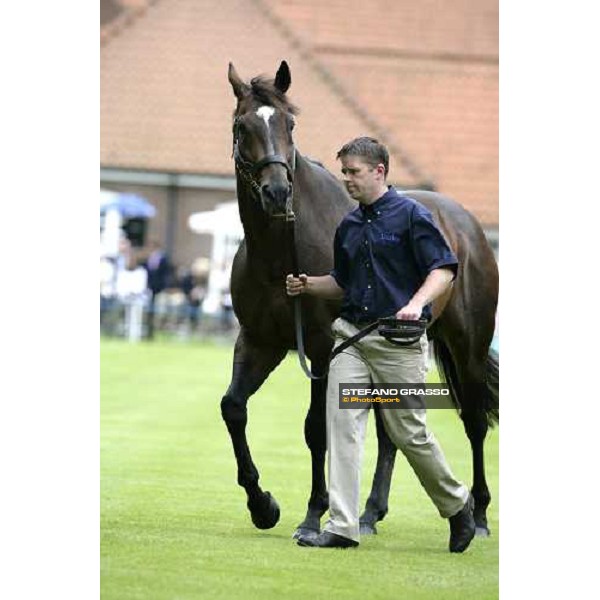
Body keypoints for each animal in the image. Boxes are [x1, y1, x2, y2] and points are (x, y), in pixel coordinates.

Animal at [220, 61, 496, 540]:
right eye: (242, 126)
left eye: (290, 124)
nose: (276, 192)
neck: (282, 252)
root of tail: (466, 227)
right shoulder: (259, 341)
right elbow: (233, 408)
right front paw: (262, 505)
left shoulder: (320, 348)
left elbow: (316, 429)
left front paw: (313, 514)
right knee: (392, 433)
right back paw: (369, 514)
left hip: (470, 349)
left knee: (475, 422)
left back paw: (476, 518)